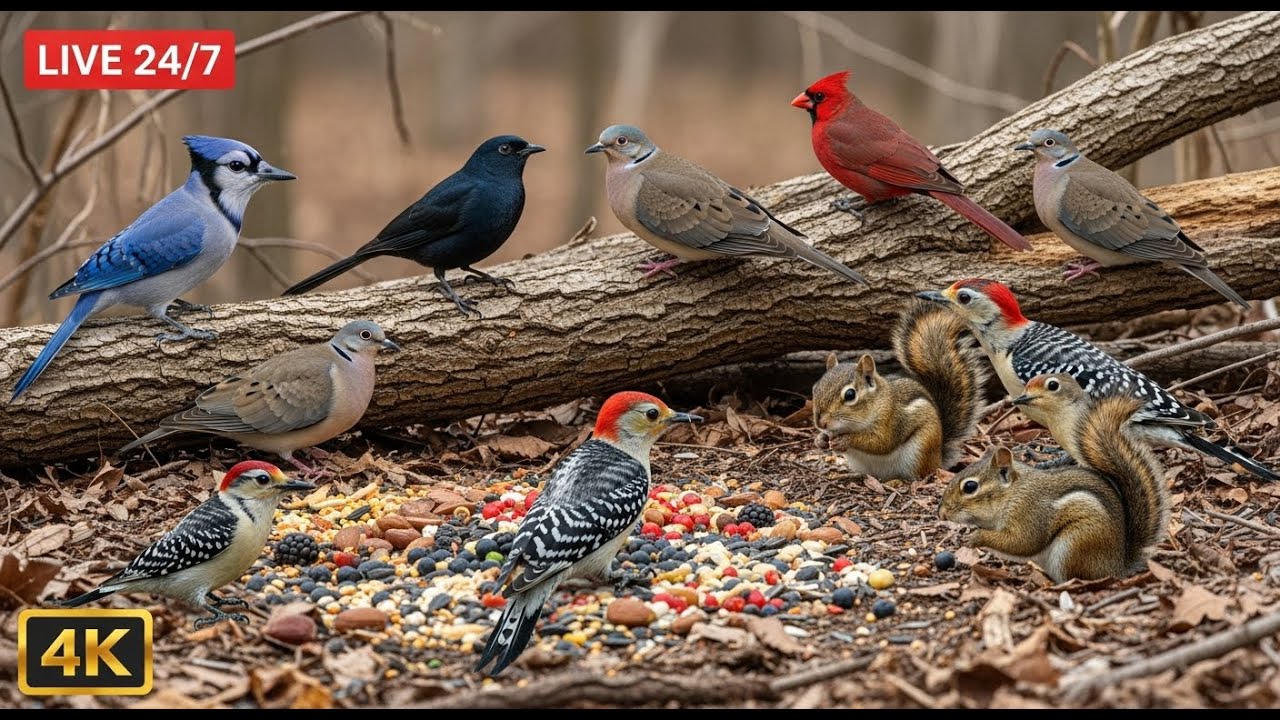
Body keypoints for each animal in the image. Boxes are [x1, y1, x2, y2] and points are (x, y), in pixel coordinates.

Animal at [811, 297, 988, 481]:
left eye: (850, 395)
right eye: (815, 387)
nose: (820, 423)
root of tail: (939, 458)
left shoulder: (891, 420)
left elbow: (881, 442)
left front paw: (846, 440)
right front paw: (820, 439)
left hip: (921, 449)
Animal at [939, 372, 1170, 583]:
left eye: (970, 487)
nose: (941, 513)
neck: (1013, 492)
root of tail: (1118, 565)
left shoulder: (1029, 511)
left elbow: (1022, 542)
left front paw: (976, 537)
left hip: (1076, 543)